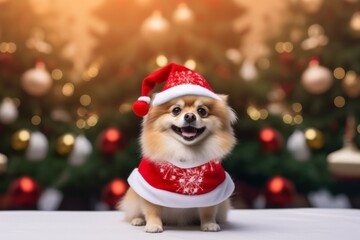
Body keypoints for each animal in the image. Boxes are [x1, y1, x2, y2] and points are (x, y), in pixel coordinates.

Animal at [121, 94, 236, 232]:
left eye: (202, 111)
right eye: (176, 110)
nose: (190, 116)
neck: (185, 151)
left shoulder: (213, 190)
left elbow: (208, 211)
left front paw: (209, 224)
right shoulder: (149, 187)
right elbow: (152, 209)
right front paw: (153, 225)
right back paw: (138, 220)